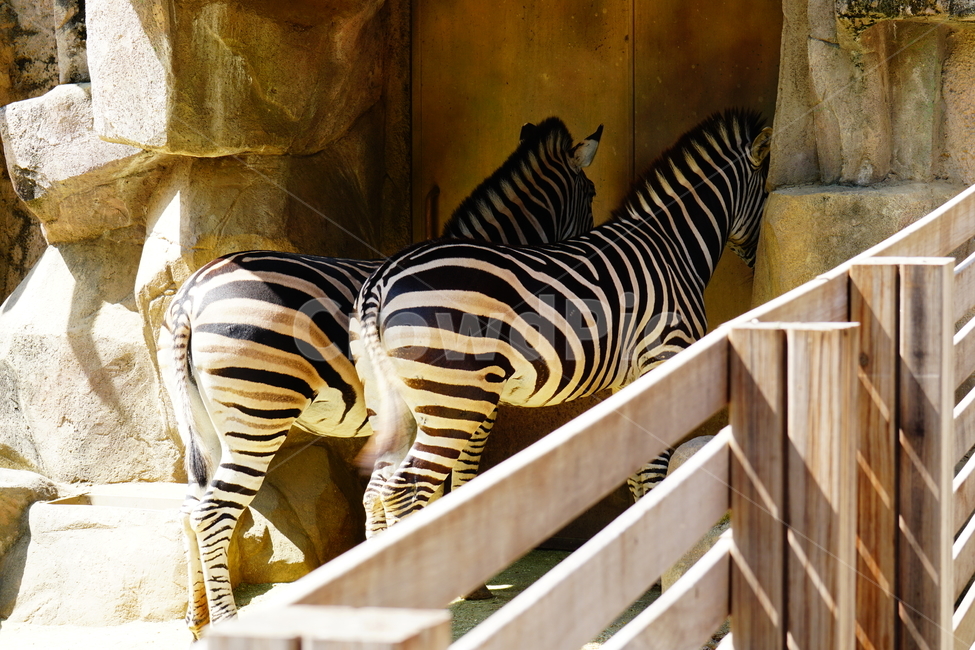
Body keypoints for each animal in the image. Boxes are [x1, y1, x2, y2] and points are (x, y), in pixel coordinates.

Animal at [157, 116, 603, 637]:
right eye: (592, 194)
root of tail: (191, 291)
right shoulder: (474, 406)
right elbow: (461, 479)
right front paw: (465, 580)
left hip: (203, 421)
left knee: (190, 508)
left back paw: (198, 619)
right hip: (256, 410)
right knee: (214, 511)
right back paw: (224, 622)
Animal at [352, 109, 772, 534]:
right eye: (769, 194)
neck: (671, 247)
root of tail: (382, 280)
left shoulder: (630, 378)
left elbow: (638, 472)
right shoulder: (663, 357)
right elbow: (654, 470)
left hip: (392, 401)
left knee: (376, 492)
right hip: (456, 396)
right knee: (406, 489)